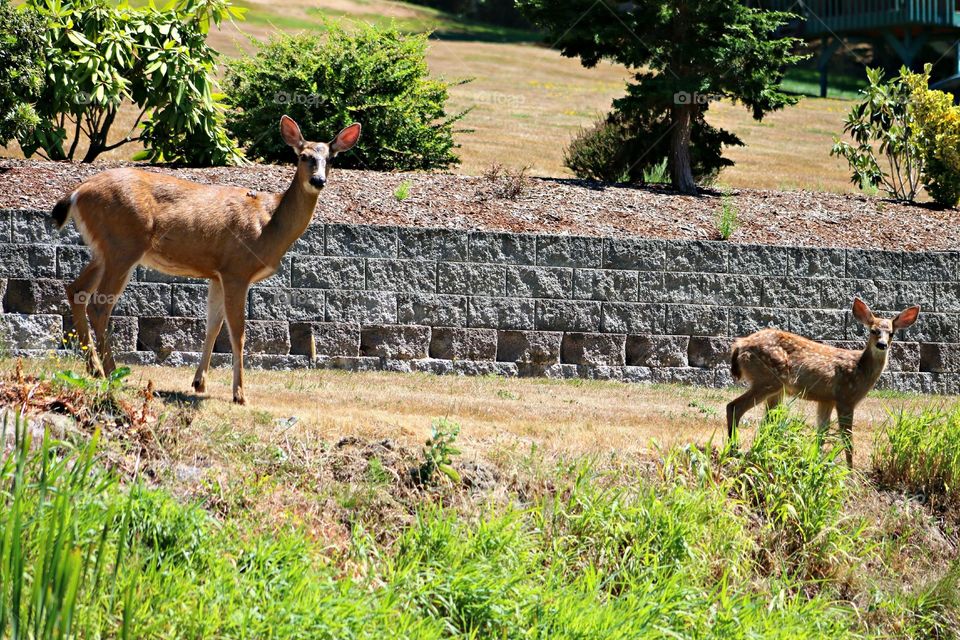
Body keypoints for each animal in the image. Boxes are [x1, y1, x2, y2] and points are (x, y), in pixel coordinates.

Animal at [50, 115, 362, 404]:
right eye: (303, 156)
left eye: (331, 158)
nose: (318, 180)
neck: (268, 224)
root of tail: (77, 193)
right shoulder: (237, 269)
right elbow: (237, 330)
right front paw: (239, 394)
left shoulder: (217, 273)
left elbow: (213, 324)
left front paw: (199, 382)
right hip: (123, 245)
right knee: (99, 304)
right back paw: (112, 371)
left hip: (103, 250)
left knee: (76, 290)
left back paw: (93, 368)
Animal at [728, 298, 924, 468]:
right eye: (873, 330)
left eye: (891, 333)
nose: (882, 345)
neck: (859, 369)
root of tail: (739, 345)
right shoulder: (845, 397)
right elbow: (847, 439)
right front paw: (850, 472)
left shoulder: (826, 400)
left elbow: (822, 434)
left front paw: (817, 461)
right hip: (767, 379)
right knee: (734, 406)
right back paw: (733, 450)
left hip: (775, 388)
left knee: (768, 421)